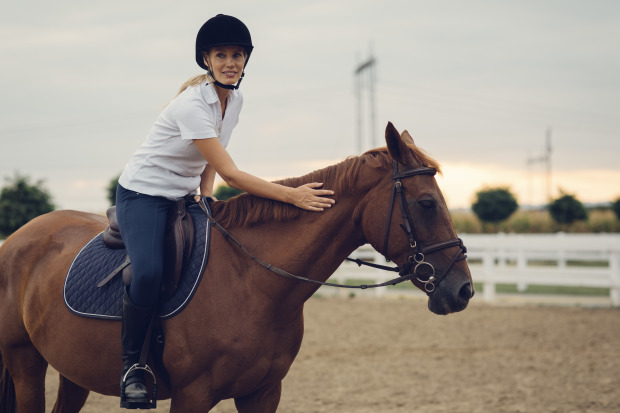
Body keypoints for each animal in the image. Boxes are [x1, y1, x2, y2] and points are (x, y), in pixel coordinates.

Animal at [0, 123, 472, 412]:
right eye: (426, 203)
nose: (463, 290)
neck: (253, 282)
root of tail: (17, 238)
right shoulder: (192, 396)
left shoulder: (262, 393)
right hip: (24, 361)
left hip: (71, 369)